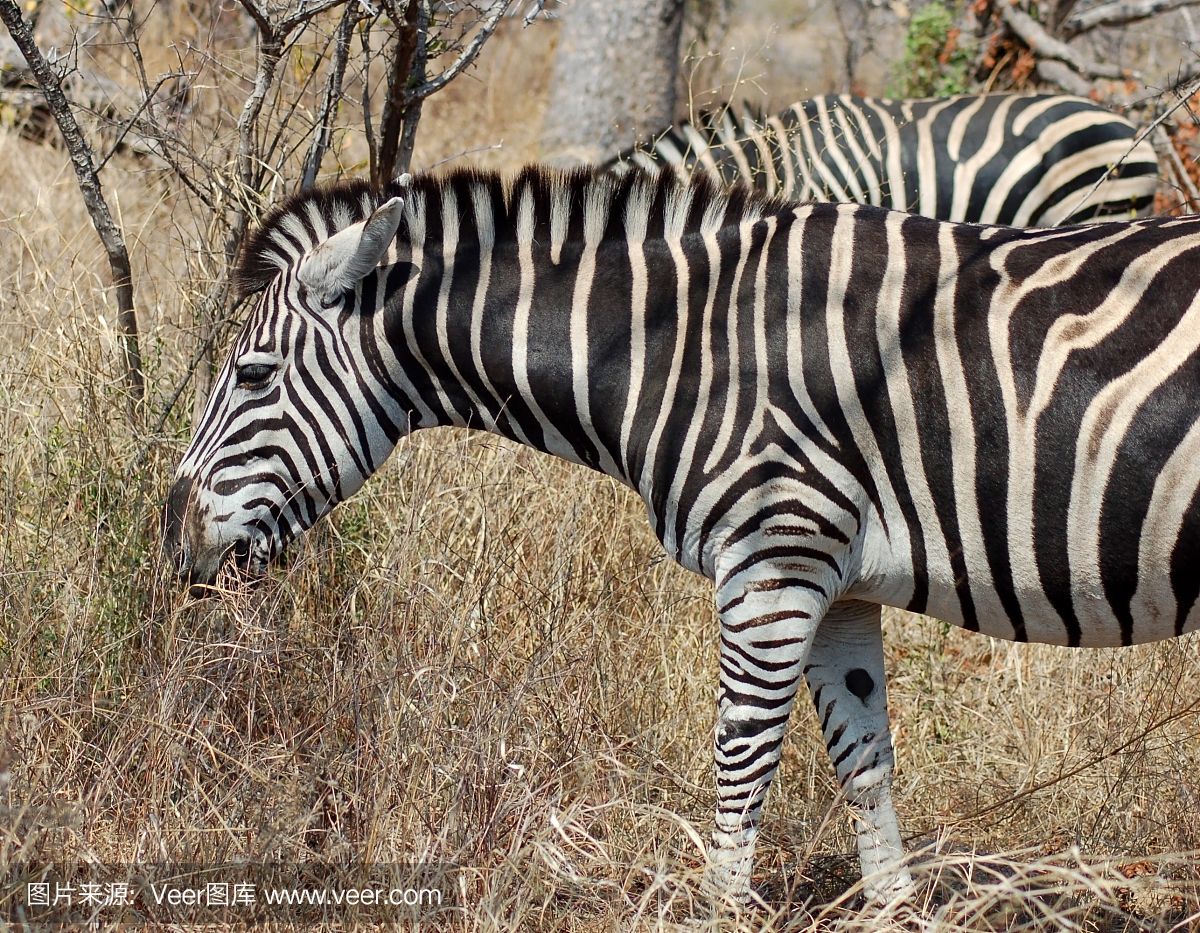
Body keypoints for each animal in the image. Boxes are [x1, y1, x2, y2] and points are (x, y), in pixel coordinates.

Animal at [166, 165, 1200, 901]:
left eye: (252, 375)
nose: (173, 542)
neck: (683, 351)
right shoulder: (836, 583)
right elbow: (865, 769)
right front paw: (896, 909)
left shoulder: (773, 563)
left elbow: (739, 771)